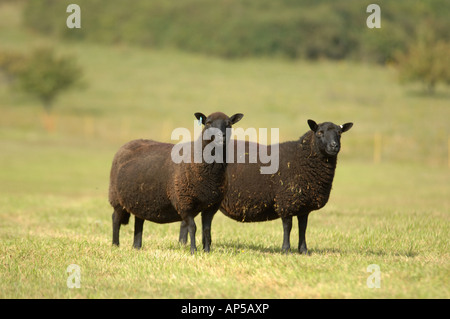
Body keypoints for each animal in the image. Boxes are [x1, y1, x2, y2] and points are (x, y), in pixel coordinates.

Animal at [108, 111, 243, 254]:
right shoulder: (184, 202)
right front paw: (193, 250)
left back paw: (137, 246)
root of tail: (127, 144)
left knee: (139, 220)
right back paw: (115, 244)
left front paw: (207, 251)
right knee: (115, 219)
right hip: (116, 198)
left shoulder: (211, 205)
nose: (221, 136)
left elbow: (206, 229)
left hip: (141, 200)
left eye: (229, 124)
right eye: (208, 123)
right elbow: (192, 227)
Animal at [181, 119, 354, 255]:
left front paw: (303, 250)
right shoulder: (286, 200)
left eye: (340, 133)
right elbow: (288, 226)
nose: (334, 146)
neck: (303, 157)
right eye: (319, 132)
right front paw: (286, 250)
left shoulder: (303, 204)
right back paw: (183, 244)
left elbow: (303, 227)